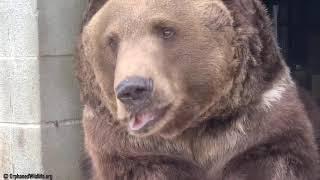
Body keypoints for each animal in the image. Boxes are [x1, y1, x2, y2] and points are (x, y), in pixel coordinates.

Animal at [77, 0, 320, 179]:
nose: (133, 89)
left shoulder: (259, 121)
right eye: (112, 40)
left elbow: (275, 161)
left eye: (166, 30)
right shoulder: (131, 148)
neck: (193, 126)